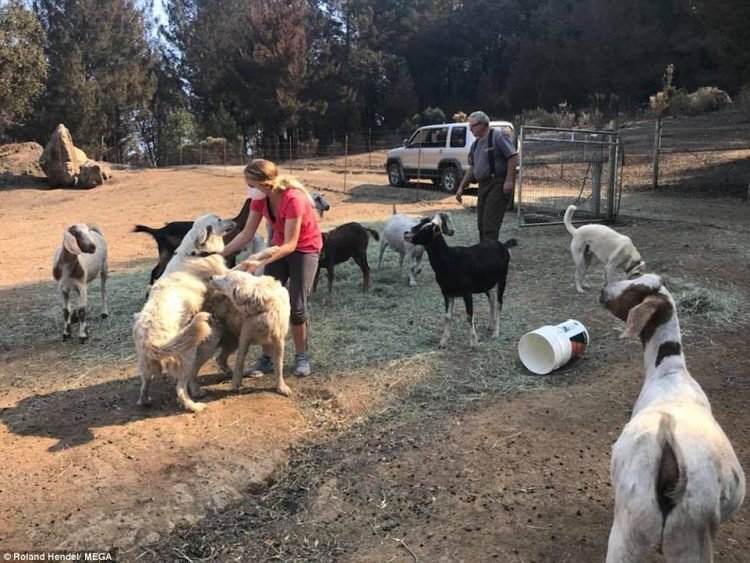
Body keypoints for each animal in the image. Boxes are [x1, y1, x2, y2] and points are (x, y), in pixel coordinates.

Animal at [406, 215, 516, 348]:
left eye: (426, 229)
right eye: (418, 224)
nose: (406, 233)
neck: (449, 260)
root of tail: (503, 245)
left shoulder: (467, 292)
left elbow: (469, 316)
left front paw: (474, 342)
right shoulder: (447, 292)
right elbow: (447, 316)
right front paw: (443, 341)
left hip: (502, 278)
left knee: (499, 302)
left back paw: (495, 332)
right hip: (485, 282)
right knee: (492, 299)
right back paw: (490, 325)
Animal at [600, 274, 748, 560]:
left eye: (636, 290)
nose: (603, 291)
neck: (669, 372)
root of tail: (671, 457)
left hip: (633, 531)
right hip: (690, 536)